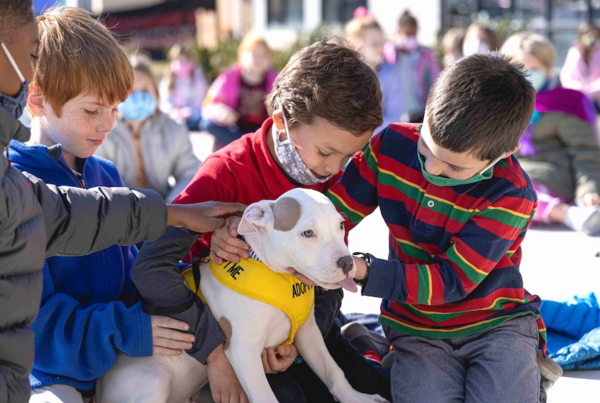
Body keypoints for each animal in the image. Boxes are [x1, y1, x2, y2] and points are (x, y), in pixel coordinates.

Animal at [97, 190, 390, 403]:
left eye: (340, 225)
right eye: (307, 233)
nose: (347, 263)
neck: (279, 276)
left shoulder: (308, 333)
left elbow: (333, 370)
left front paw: (357, 398)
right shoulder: (243, 350)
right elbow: (265, 396)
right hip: (151, 380)